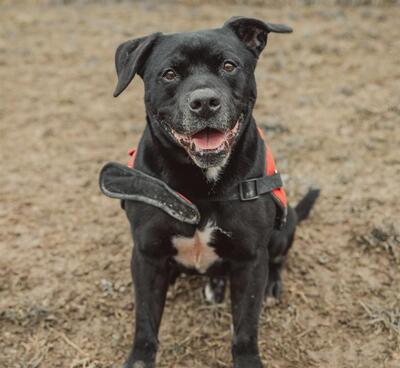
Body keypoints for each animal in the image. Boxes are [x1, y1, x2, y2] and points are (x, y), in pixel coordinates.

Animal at [100, 15, 318, 366]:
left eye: (229, 66)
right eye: (169, 73)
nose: (204, 103)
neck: (200, 184)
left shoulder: (250, 260)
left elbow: (245, 327)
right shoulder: (146, 256)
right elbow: (145, 322)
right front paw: (139, 358)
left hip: (286, 227)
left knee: (277, 258)